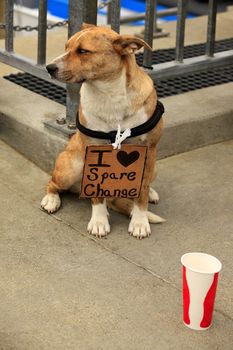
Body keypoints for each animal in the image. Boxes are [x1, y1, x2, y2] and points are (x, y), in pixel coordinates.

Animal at [41, 23, 166, 238]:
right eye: (66, 47)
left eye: (83, 51)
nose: (49, 67)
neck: (109, 94)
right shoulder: (93, 151)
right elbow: (97, 195)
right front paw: (99, 221)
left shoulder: (148, 151)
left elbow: (140, 193)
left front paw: (139, 222)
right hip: (71, 167)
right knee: (53, 183)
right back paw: (51, 199)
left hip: (155, 165)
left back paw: (151, 192)